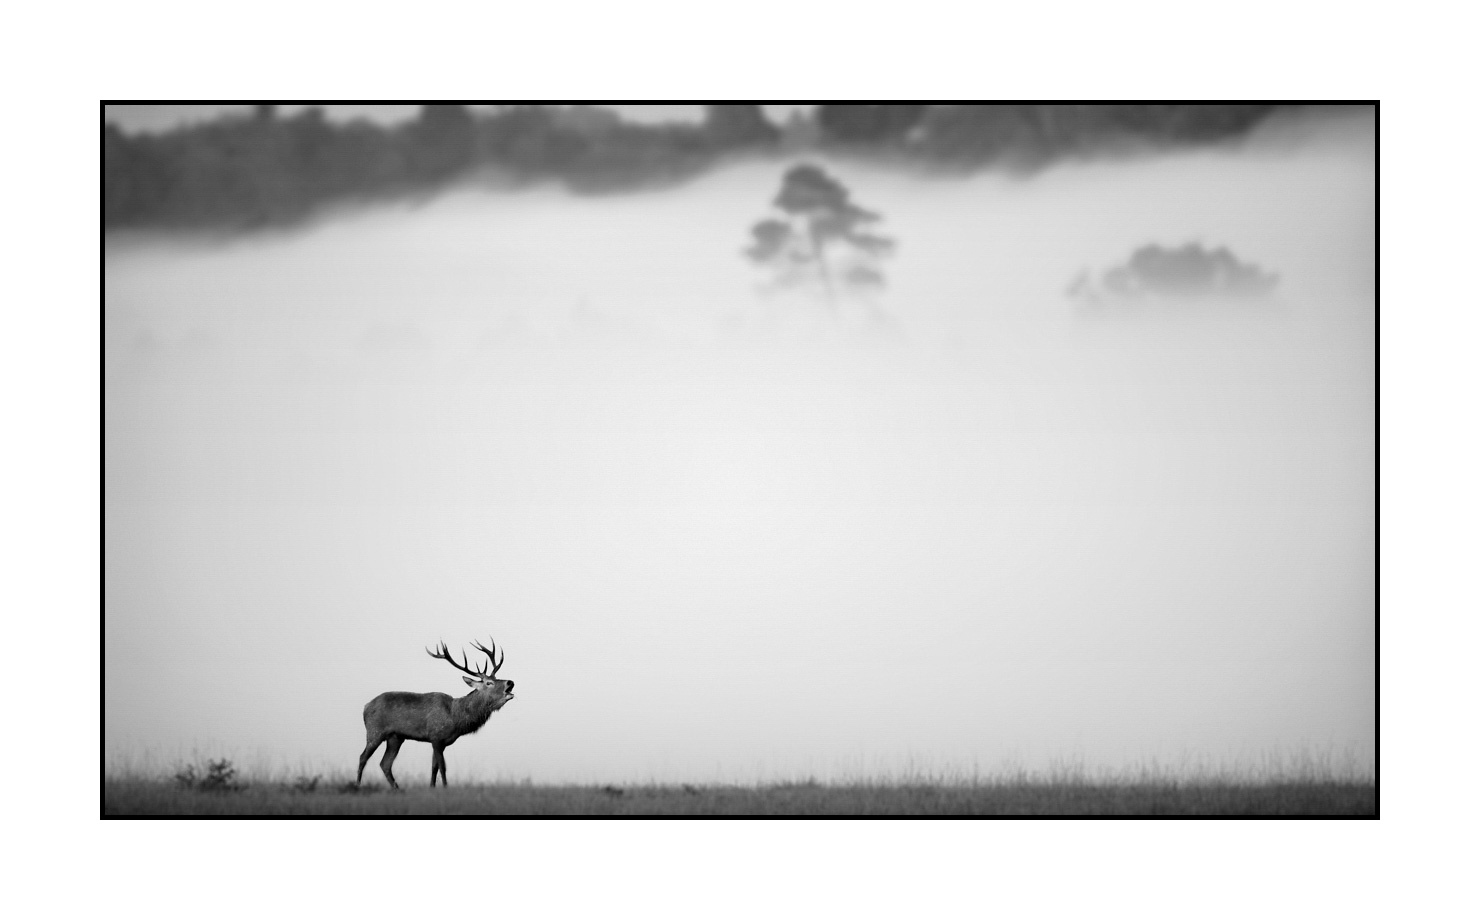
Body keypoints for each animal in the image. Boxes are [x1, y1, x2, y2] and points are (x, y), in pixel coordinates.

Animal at [357, 638, 515, 789]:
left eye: (497, 678)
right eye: (489, 682)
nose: (510, 682)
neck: (455, 717)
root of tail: (365, 706)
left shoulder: (441, 742)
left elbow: (434, 767)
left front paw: (432, 788)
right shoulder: (436, 737)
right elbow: (443, 767)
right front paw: (445, 788)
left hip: (395, 737)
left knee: (385, 763)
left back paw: (397, 788)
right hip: (375, 731)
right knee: (363, 757)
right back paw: (358, 785)